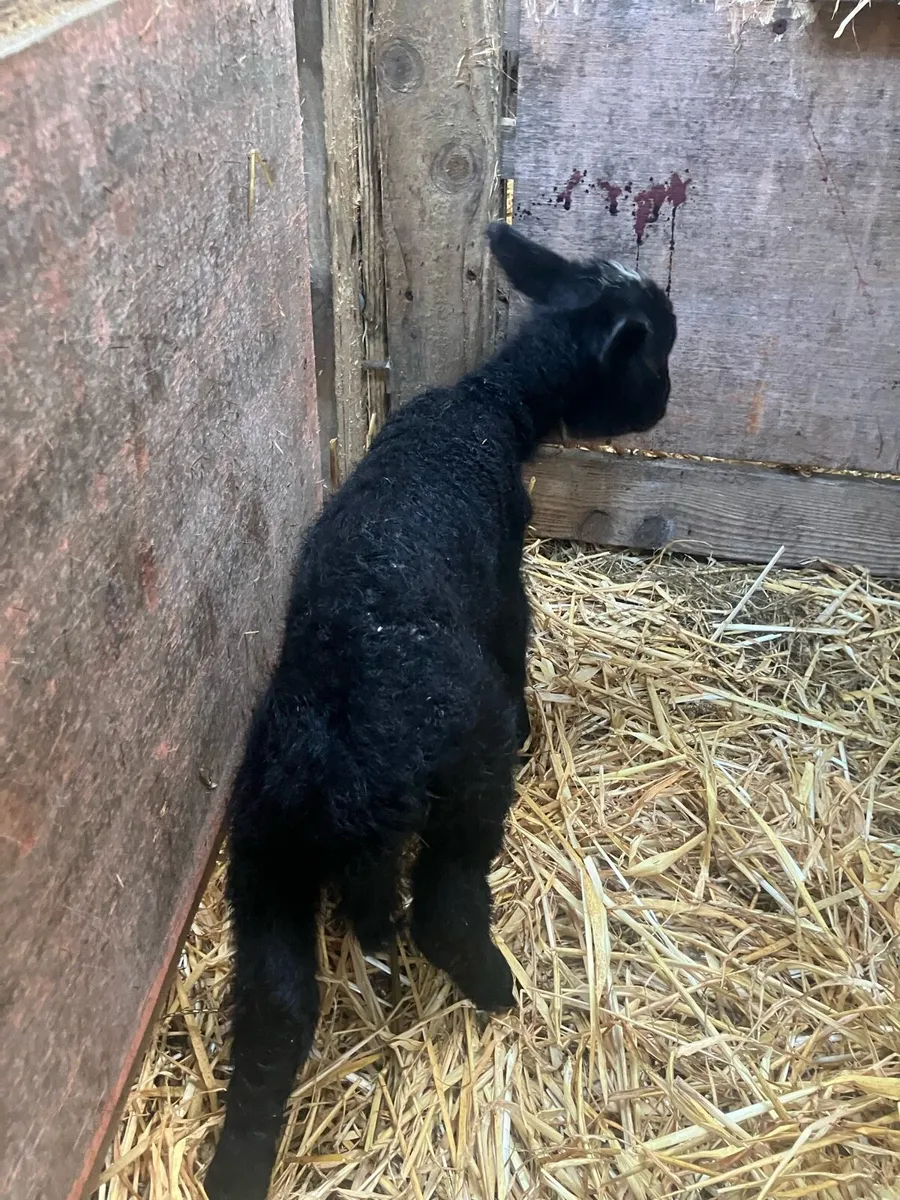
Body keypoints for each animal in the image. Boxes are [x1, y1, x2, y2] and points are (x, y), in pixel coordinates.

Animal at [203, 222, 677, 1200]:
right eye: (654, 351)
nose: (667, 403)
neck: (488, 406)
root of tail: (342, 775)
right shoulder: (504, 571)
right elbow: (517, 636)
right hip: (463, 776)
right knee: (443, 907)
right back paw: (497, 987)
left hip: (263, 857)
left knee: (275, 1013)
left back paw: (239, 1163)